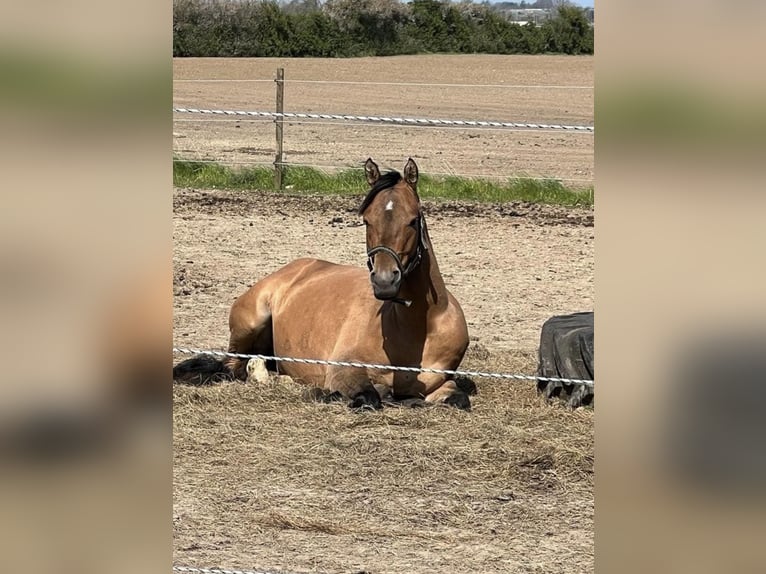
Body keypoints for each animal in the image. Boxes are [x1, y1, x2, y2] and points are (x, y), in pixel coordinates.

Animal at [174, 158, 476, 410]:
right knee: (234, 367)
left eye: (413, 220)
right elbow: (369, 397)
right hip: (248, 325)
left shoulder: (442, 382)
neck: (417, 329)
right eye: (367, 220)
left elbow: (458, 400)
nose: (384, 281)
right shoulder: (344, 370)